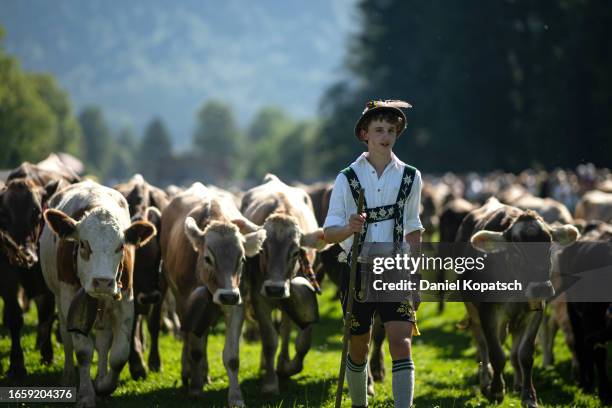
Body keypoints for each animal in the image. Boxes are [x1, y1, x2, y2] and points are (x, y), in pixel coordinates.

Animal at [39, 182, 155, 408]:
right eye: (83, 244)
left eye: (120, 246)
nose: (102, 281)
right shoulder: (70, 300)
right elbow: (83, 351)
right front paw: (86, 395)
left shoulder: (125, 301)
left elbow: (119, 354)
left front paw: (103, 386)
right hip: (59, 299)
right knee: (66, 338)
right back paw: (68, 377)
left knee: (103, 341)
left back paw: (100, 376)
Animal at [160, 183, 266, 406]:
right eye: (208, 258)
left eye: (242, 259)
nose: (228, 296)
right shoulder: (187, 303)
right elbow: (195, 350)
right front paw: (195, 389)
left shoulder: (236, 304)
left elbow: (232, 357)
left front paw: (236, 398)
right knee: (187, 337)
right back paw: (189, 372)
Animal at [240, 175, 326, 396]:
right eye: (262, 250)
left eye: (296, 252)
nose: (275, 288)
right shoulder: (259, 298)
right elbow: (270, 340)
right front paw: (270, 383)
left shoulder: (303, 296)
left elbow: (303, 342)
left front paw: (288, 368)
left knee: (286, 329)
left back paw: (283, 360)